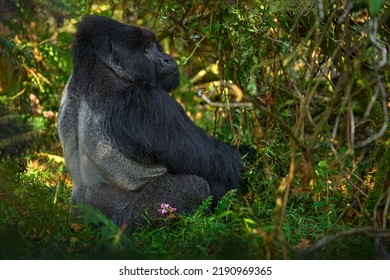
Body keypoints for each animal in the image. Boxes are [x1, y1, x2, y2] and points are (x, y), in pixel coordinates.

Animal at [57, 15, 244, 228]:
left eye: (153, 45)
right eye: (146, 50)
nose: (167, 58)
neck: (100, 69)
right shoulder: (148, 100)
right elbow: (222, 163)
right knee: (192, 185)